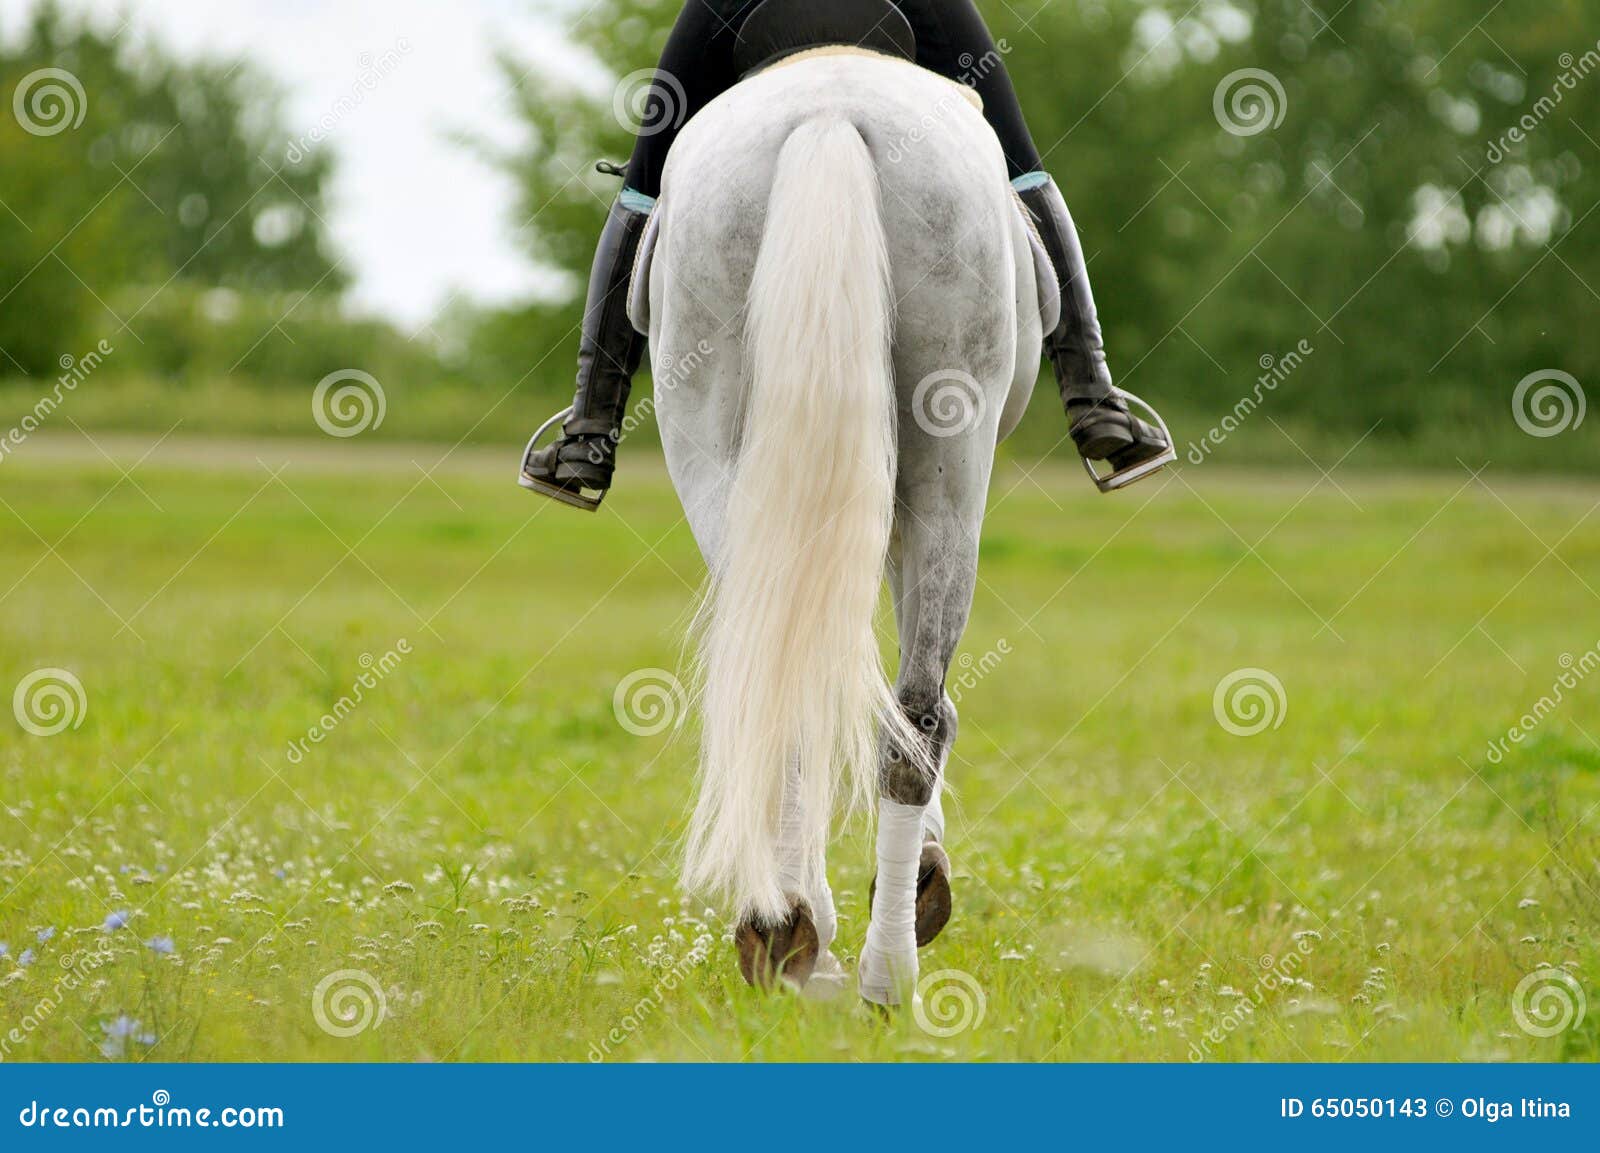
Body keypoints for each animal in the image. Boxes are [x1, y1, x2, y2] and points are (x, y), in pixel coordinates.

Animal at [631, 47, 1056, 1006]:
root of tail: (829, 109)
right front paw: (924, 877)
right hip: (946, 475)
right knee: (916, 718)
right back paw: (883, 966)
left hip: (717, 450)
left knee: (788, 692)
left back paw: (788, 930)